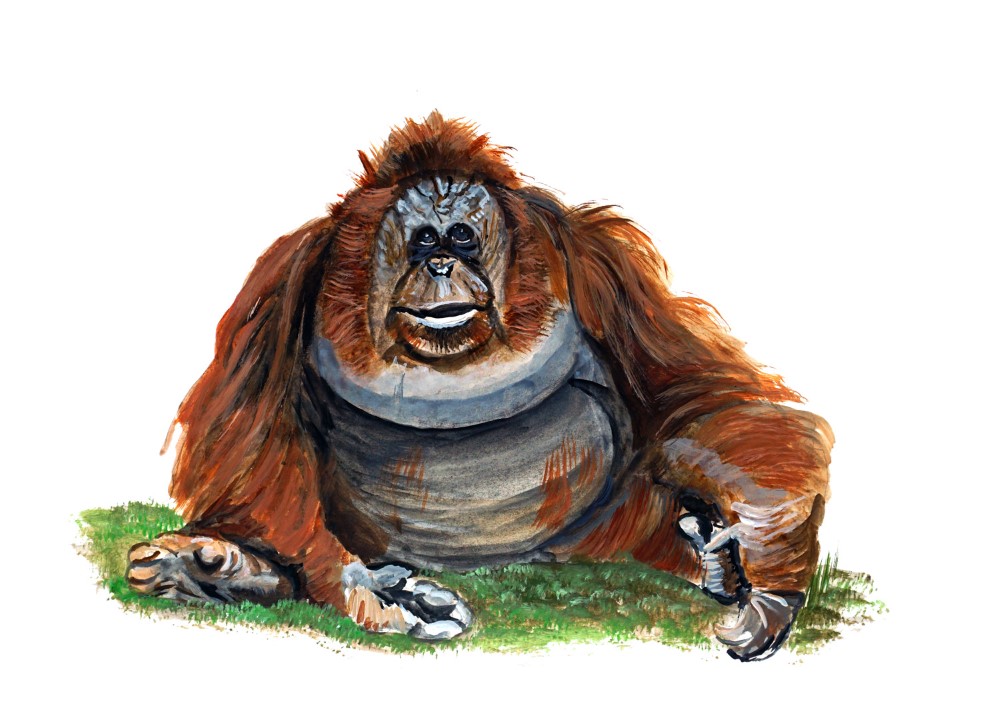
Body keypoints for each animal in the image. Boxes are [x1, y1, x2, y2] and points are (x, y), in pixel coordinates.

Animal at [126, 112, 833, 660]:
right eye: (422, 242)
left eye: (462, 237)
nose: (442, 263)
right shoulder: (284, 275)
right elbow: (248, 432)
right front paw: (366, 589)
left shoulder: (598, 258)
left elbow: (693, 391)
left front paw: (766, 547)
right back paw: (217, 569)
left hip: (602, 532)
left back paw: (717, 567)